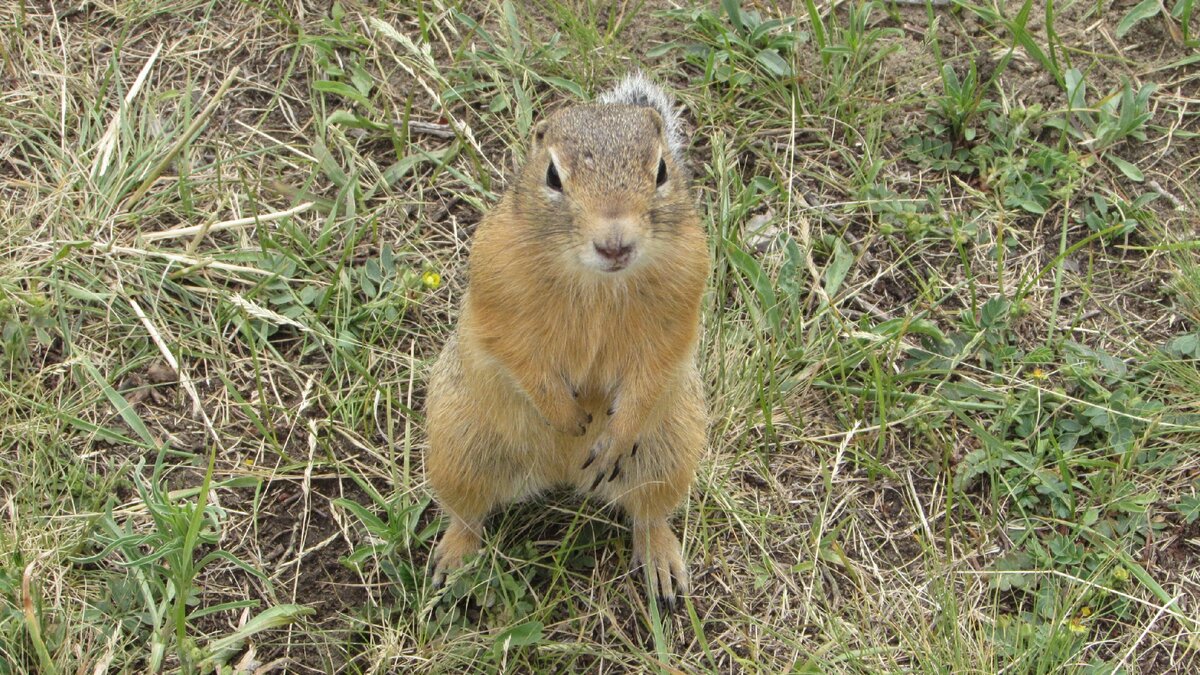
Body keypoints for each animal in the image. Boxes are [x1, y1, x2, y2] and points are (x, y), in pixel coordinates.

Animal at [422, 73, 705, 605]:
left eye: (661, 170)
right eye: (552, 176)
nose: (614, 243)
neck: (596, 281)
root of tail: (562, 476)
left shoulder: (680, 311)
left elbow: (652, 372)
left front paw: (612, 435)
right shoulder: (498, 301)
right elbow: (521, 359)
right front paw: (568, 417)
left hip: (670, 451)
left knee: (649, 513)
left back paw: (660, 560)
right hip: (460, 449)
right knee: (467, 514)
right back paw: (453, 559)